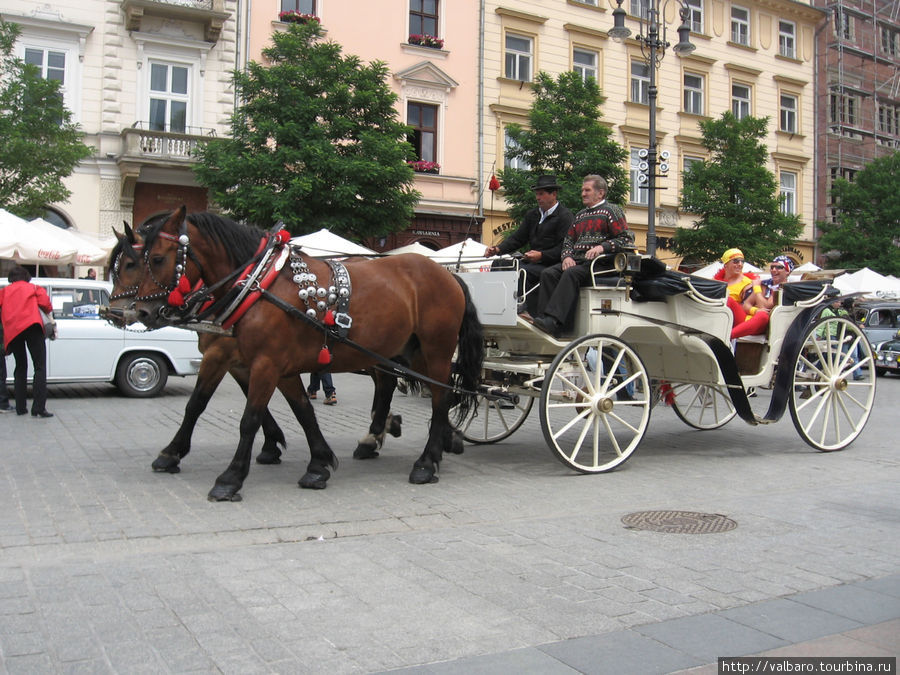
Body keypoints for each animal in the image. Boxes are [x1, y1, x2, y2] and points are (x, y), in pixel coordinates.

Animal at [132, 209, 486, 500]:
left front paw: (230, 478)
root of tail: (448, 274)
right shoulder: (273, 366)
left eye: (158, 258)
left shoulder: (263, 363)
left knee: (440, 396)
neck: (259, 286)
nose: (141, 312)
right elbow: (301, 411)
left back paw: (426, 462)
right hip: (409, 351)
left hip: (437, 348)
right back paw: (426, 444)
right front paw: (318, 464)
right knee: (413, 390)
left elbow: (249, 419)